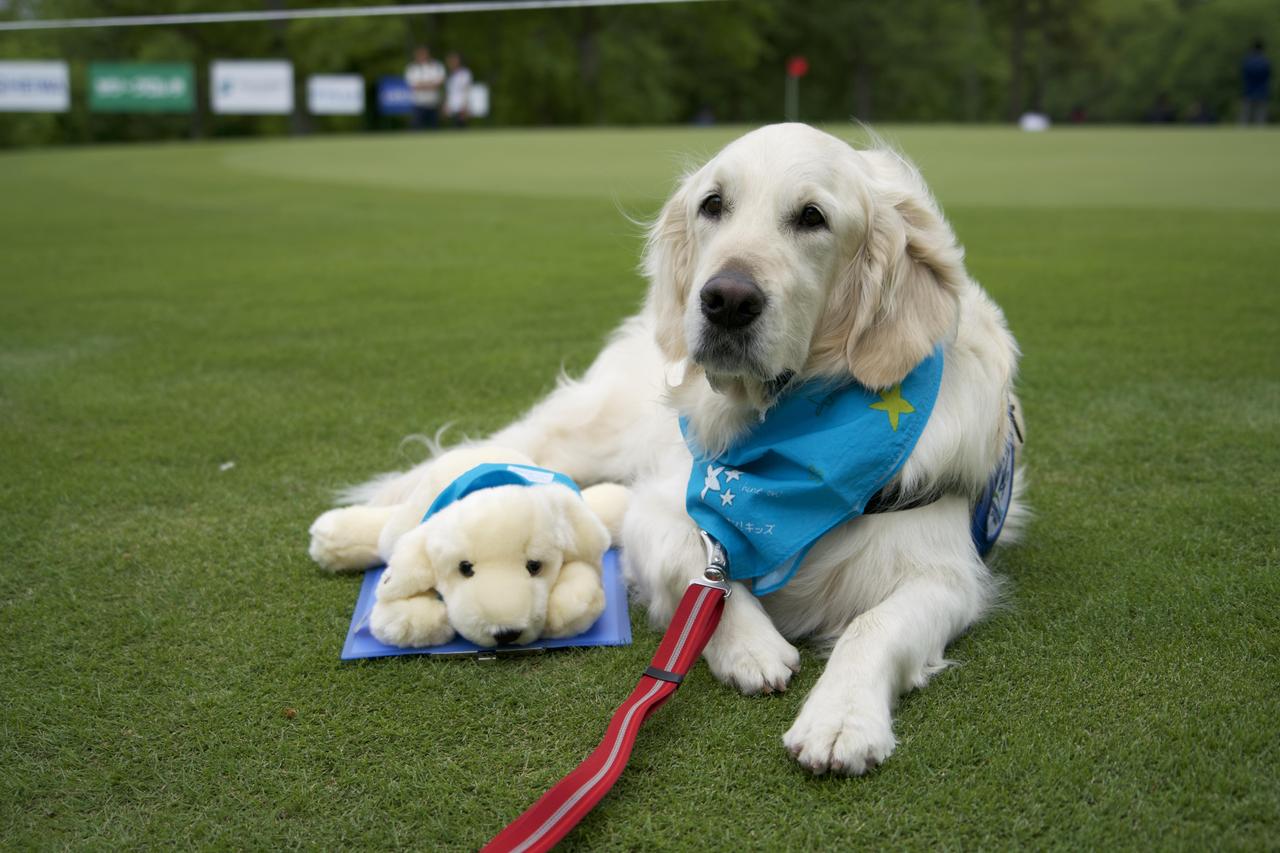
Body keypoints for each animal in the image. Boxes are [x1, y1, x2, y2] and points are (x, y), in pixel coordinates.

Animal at [314, 124, 1024, 768]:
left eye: (813, 217)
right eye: (713, 204)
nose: (726, 299)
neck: (782, 439)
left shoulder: (945, 569)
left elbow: (873, 626)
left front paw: (842, 718)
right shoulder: (665, 504)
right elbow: (695, 564)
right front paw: (750, 645)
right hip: (584, 439)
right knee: (464, 477)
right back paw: (343, 533)